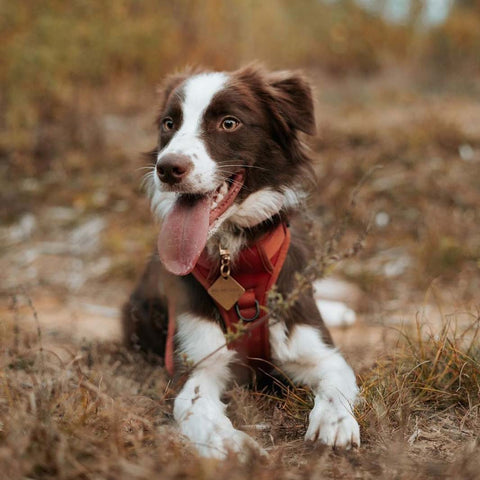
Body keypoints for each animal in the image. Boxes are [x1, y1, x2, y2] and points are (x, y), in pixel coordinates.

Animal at [123, 63, 360, 458]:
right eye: (169, 123)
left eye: (229, 123)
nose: (167, 168)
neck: (233, 257)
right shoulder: (197, 367)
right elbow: (198, 410)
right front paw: (232, 446)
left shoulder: (319, 350)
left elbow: (336, 379)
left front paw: (335, 422)